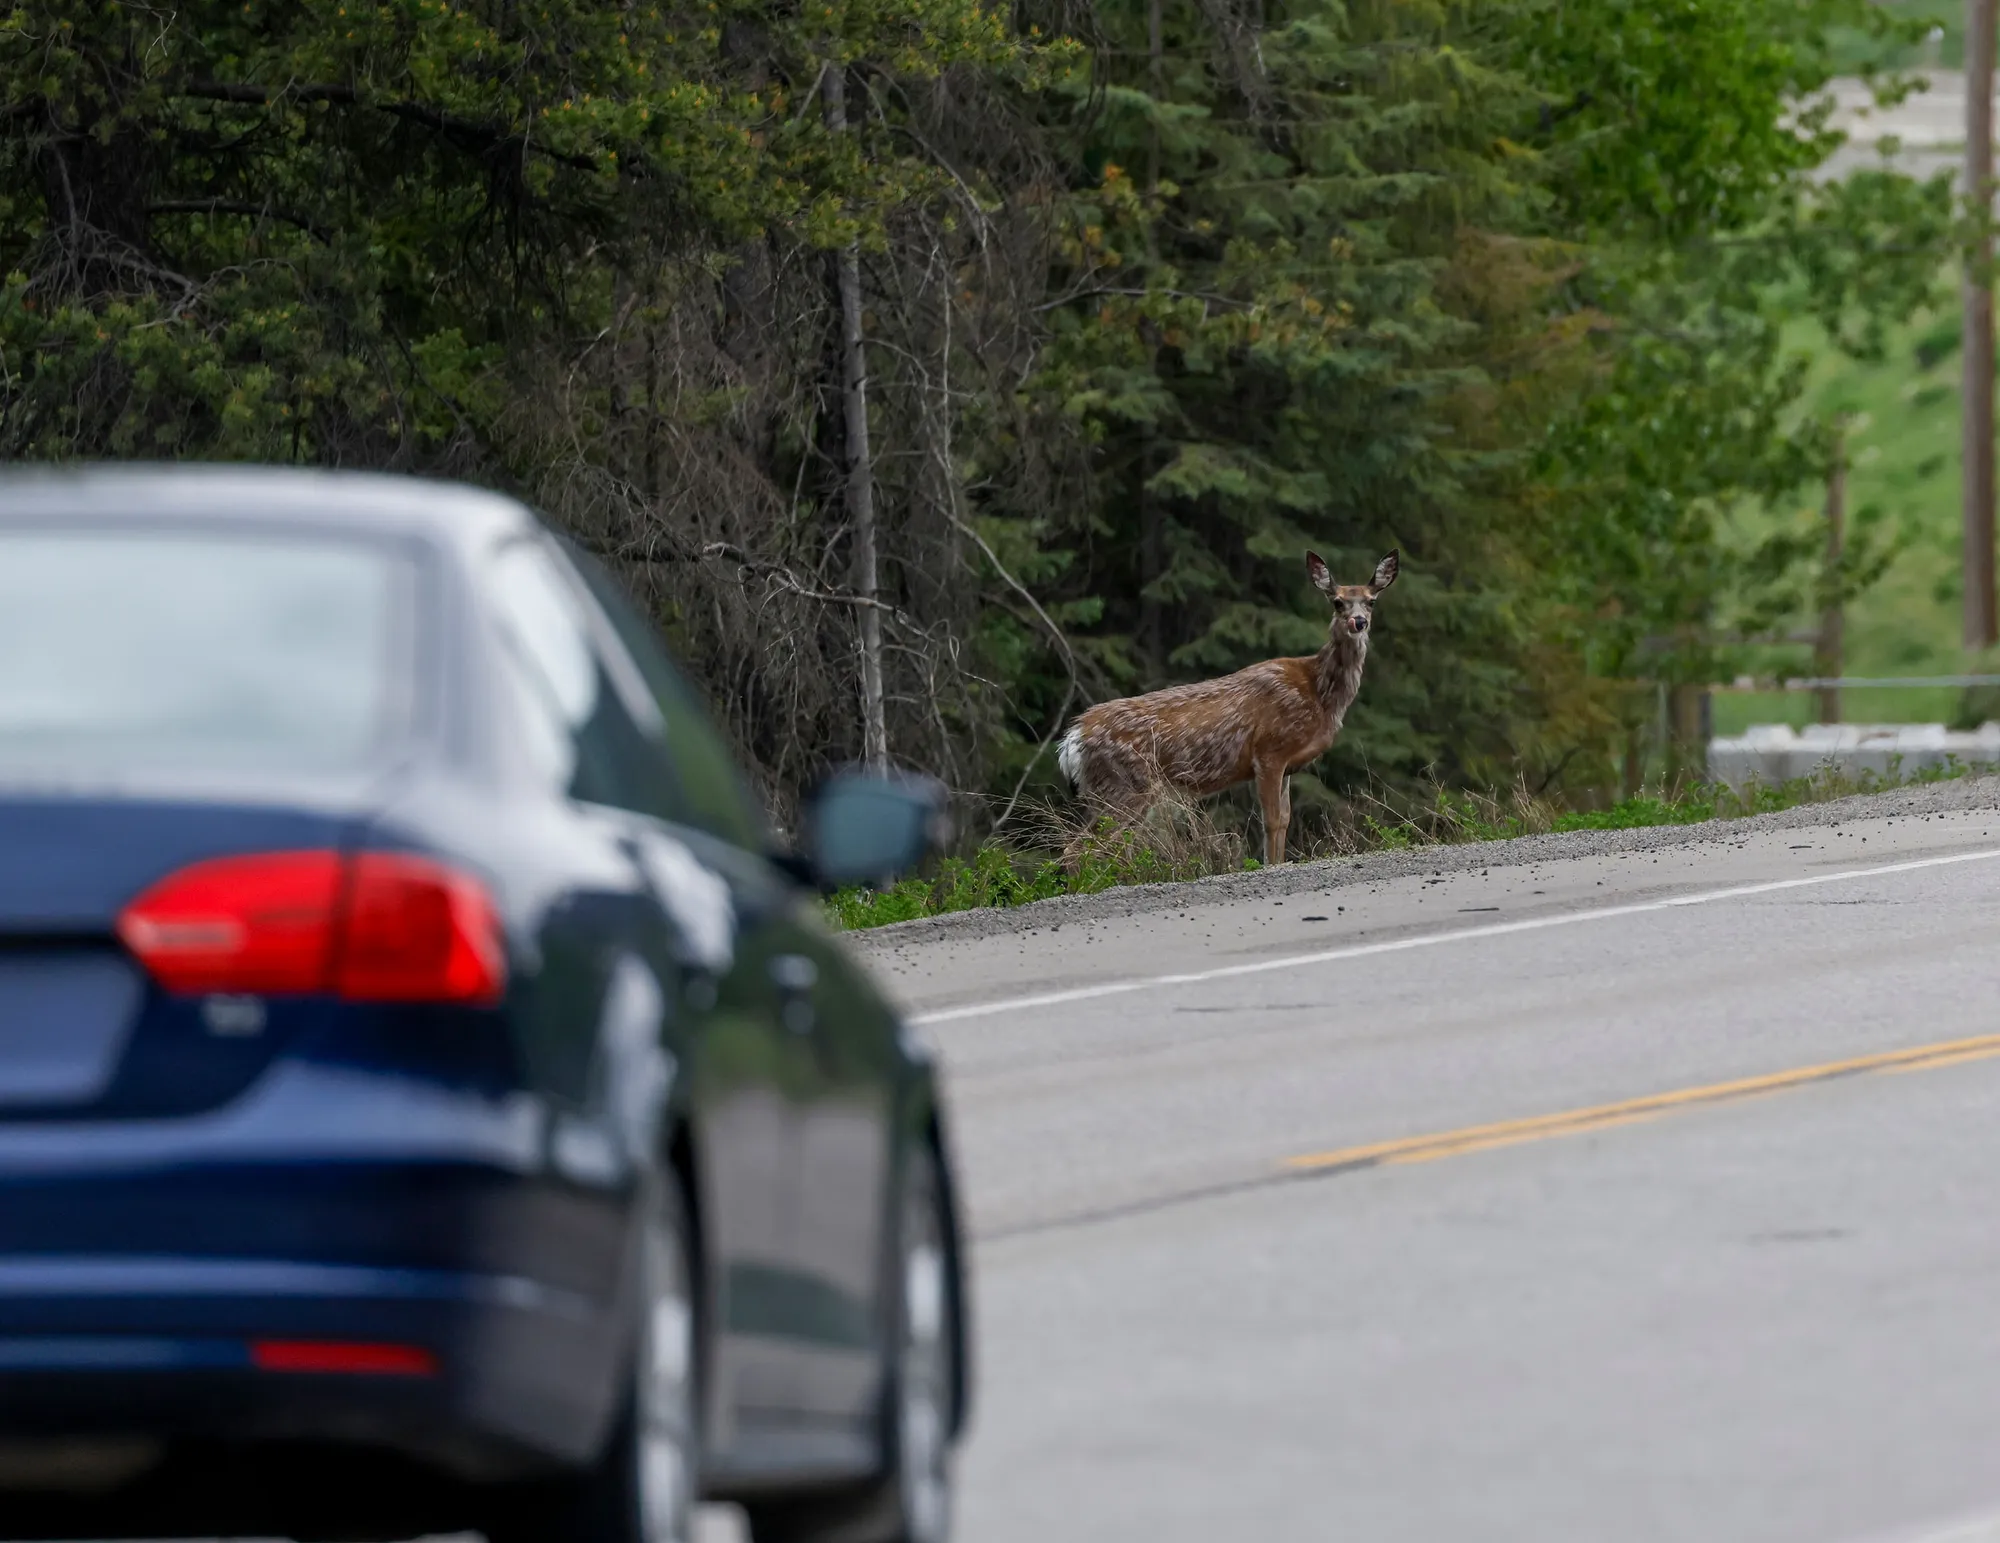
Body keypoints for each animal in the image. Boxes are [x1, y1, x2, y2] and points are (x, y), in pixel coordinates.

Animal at [1057, 549, 1398, 867]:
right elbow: (1271, 821)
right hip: (1124, 784)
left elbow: (1284, 820)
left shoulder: (1288, 763)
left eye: (1371, 601)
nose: (1359, 622)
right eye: (1338, 602)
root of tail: (1073, 739)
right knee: (1078, 848)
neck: (1319, 692)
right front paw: (1270, 865)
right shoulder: (1269, 750)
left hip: (1112, 791)